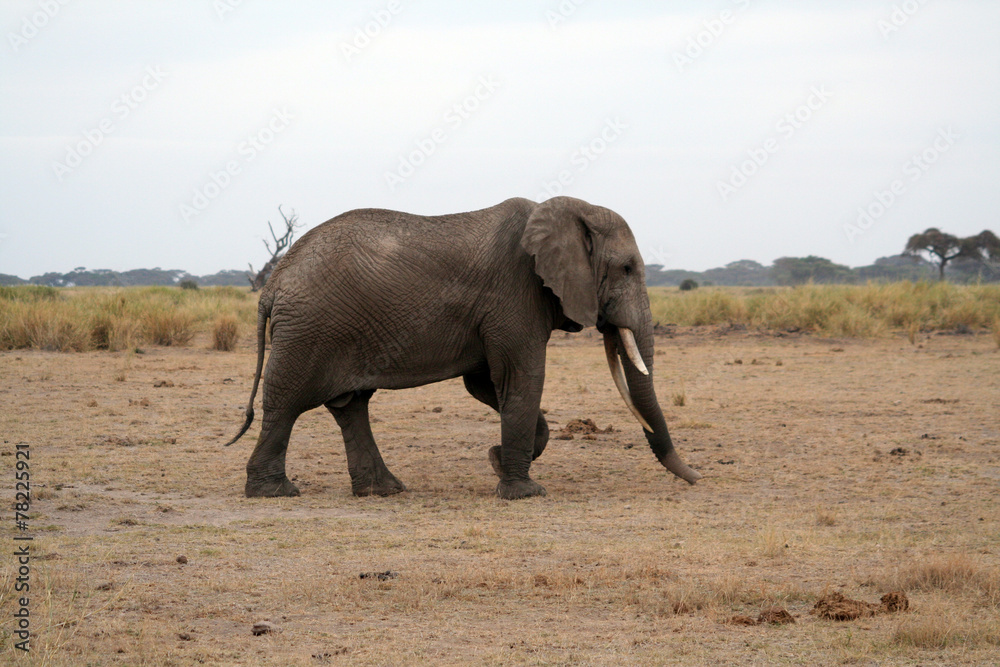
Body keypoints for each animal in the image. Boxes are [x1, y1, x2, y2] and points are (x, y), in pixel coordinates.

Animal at [224, 196, 701, 499]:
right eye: (627, 268)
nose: (698, 477)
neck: (565, 210)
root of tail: (273, 283)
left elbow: (488, 383)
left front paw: (497, 460)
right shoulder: (514, 295)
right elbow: (522, 377)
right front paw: (525, 492)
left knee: (351, 406)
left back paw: (384, 491)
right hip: (310, 330)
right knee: (287, 404)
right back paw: (275, 493)